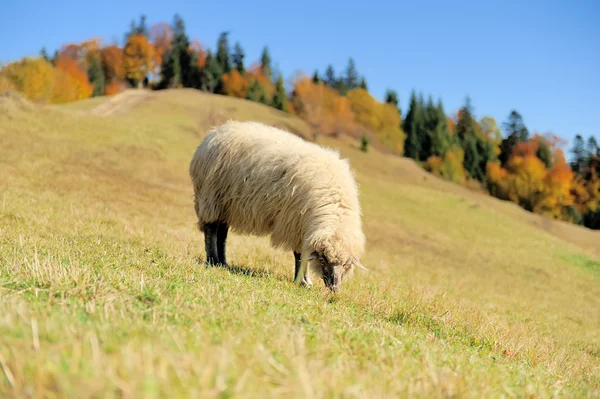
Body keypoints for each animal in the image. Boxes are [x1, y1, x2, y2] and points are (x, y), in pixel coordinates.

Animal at [189, 120, 366, 292]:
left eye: (346, 264)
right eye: (323, 260)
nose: (334, 288)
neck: (334, 204)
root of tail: (214, 133)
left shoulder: (303, 228)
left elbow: (304, 255)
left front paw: (305, 281)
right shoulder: (295, 223)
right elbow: (299, 255)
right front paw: (302, 281)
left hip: (226, 204)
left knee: (222, 232)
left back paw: (223, 262)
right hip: (211, 196)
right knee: (211, 229)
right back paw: (212, 260)